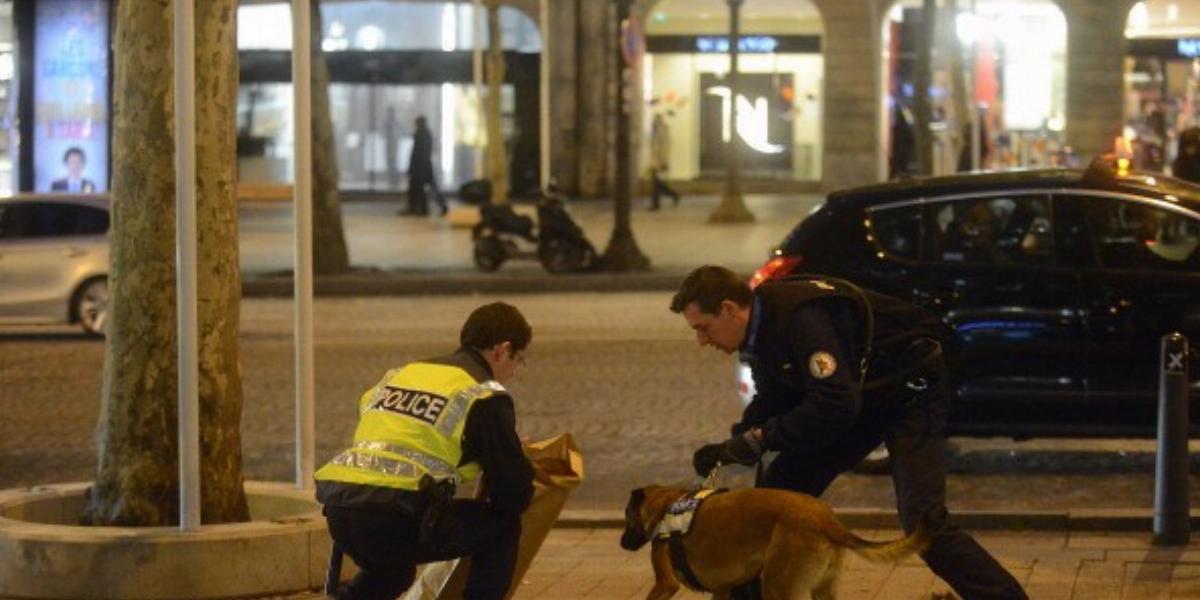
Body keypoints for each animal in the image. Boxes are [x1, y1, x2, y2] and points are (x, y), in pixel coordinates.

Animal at [624, 484, 931, 597]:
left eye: (626, 517)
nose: (622, 543)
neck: (665, 503)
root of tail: (826, 519)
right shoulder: (722, 590)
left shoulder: (665, 584)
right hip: (821, 589)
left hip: (777, 586)